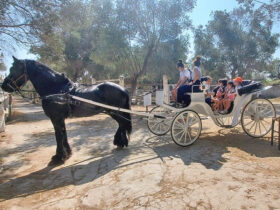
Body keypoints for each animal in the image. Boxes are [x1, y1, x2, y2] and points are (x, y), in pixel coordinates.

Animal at [1, 56, 132, 165]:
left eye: (14, 69)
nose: (3, 86)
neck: (57, 89)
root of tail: (123, 89)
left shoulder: (56, 118)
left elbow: (58, 135)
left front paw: (58, 157)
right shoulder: (60, 119)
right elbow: (63, 134)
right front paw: (67, 153)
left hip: (115, 112)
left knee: (123, 123)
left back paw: (120, 142)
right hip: (113, 112)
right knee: (122, 124)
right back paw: (120, 142)